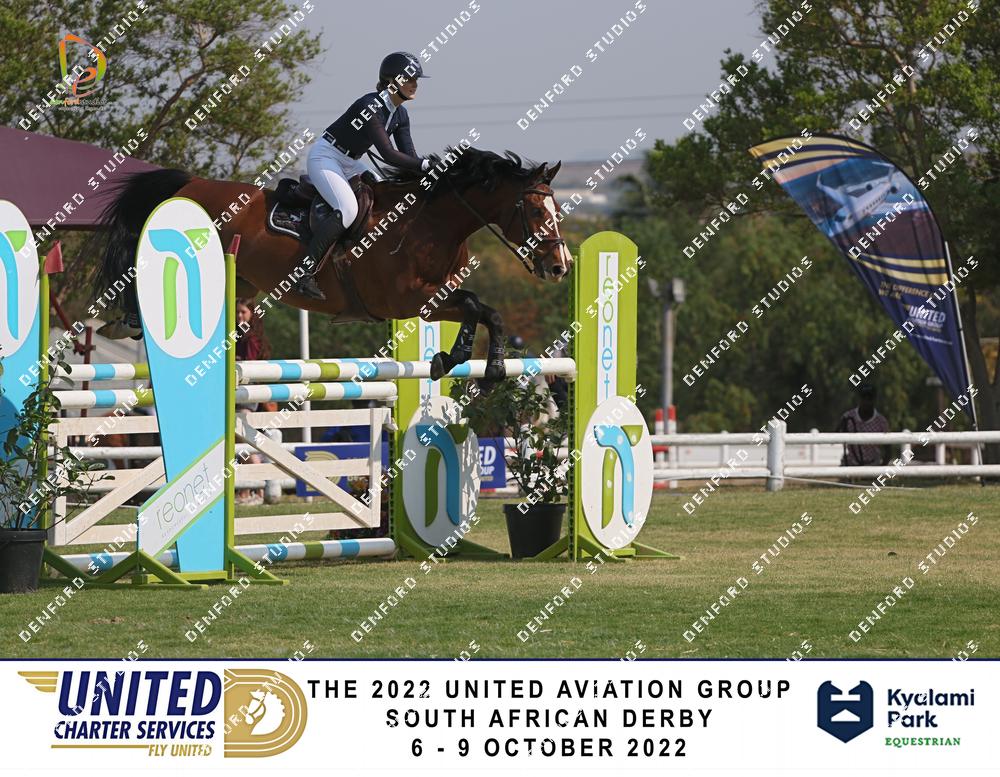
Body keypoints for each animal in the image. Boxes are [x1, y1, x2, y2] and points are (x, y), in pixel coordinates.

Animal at [94, 148, 572, 384]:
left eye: (556, 208)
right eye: (535, 211)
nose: (560, 266)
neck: (431, 223)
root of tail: (190, 182)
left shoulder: (435, 296)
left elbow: (485, 309)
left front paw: (478, 366)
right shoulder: (407, 302)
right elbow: (475, 305)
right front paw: (462, 363)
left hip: (243, 281)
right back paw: (125, 321)